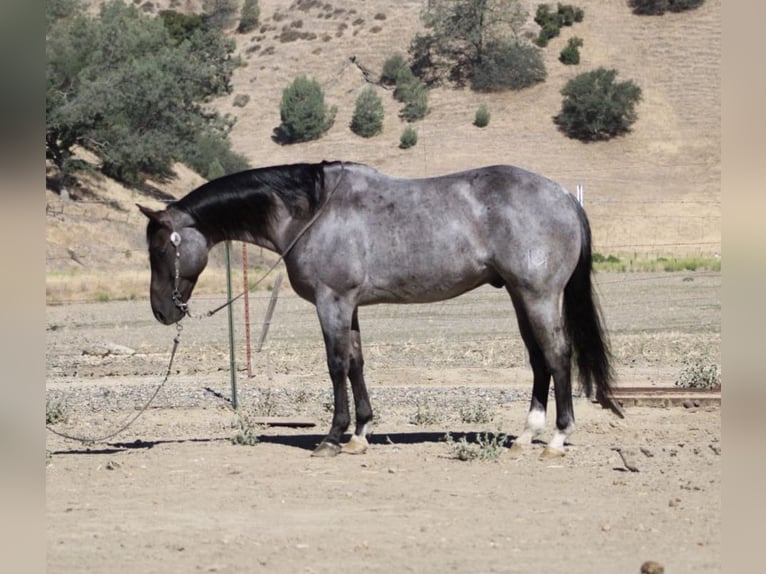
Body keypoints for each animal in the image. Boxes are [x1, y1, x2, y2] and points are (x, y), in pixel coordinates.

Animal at [138, 161, 623, 458]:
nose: (162, 311)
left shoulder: (331, 302)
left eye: (160, 248)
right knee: (539, 360)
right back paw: (526, 435)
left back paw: (556, 438)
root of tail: (563, 196)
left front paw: (333, 437)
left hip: (538, 296)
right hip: (522, 298)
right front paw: (359, 435)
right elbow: (356, 363)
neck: (311, 212)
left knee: (557, 356)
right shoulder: (348, 306)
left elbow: (335, 365)